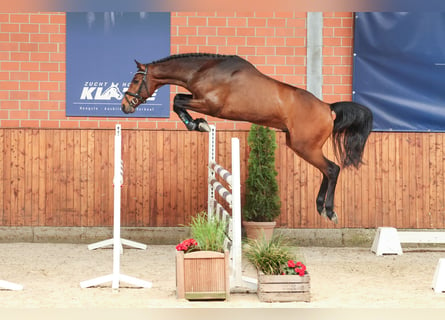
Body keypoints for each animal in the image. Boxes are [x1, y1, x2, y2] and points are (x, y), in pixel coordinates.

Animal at [120, 53, 372, 222]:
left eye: (135, 80)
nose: (124, 106)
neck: (203, 70)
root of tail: (327, 108)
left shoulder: (210, 104)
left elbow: (177, 101)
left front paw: (198, 124)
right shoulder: (198, 99)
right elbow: (179, 99)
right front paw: (199, 124)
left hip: (306, 147)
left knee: (332, 169)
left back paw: (329, 211)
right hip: (299, 146)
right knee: (326, 171)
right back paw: (320, 207)